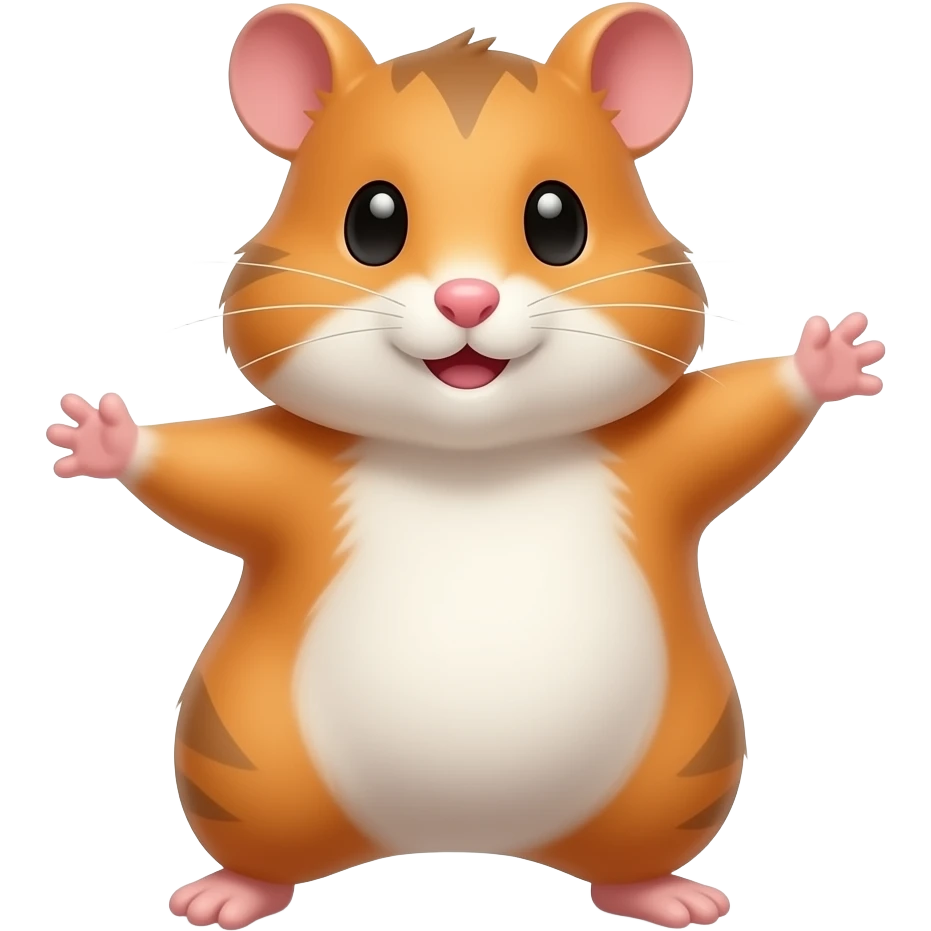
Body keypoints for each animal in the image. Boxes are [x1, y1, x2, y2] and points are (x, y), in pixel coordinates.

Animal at [46, 3, 886, 929]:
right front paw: (108, 438)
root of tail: (458, 833)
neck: (470, 456)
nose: (466, 299)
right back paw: (236, 889)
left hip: (677, 761)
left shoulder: (652, 455)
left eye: (557, 222)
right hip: (243, 750)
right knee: (263, 837)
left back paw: (657, 890)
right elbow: (216, 473)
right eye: (372, 223)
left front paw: (822, 363)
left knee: (632, 850)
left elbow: (730, 421)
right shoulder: (294, 474)